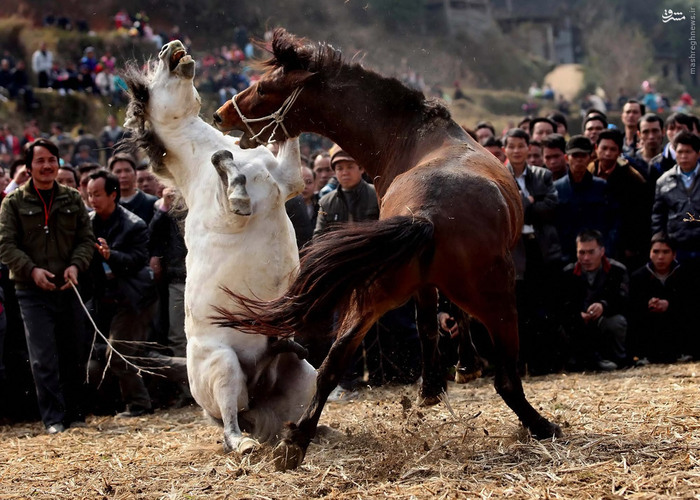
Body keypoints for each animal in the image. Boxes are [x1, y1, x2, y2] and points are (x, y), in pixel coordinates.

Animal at [122, 39, 314, 454]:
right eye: (149, 85)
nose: (171, 47)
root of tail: (255, 393)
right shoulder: (226, 214)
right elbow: (229, 180)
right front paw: (233, 178)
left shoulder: (288, 180)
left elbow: (285, 148)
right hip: (224, 368)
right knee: (229, 424)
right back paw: (244, 444)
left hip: (304, 377)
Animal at [211, 29, 560, 470]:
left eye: (264, 87)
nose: (221, 114)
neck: (412, 137)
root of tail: (424, 214)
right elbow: (441, 321)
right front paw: (452, 374)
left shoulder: (420, 284)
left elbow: (430, 323)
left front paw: (435, 385)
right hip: (497, 298)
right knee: (507, 379)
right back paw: (542, 425)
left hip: (370, 297)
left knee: (333, 362)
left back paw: (295, 443)